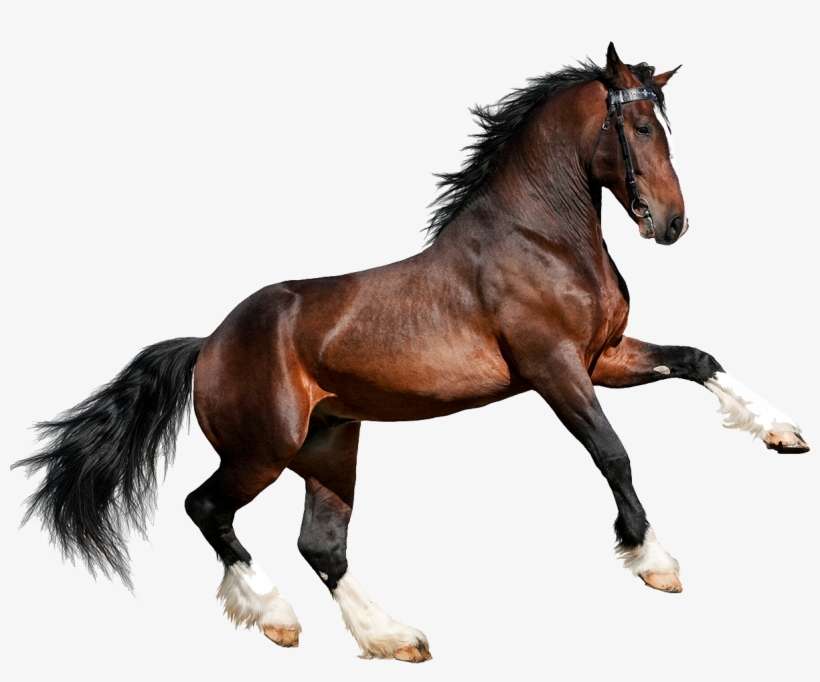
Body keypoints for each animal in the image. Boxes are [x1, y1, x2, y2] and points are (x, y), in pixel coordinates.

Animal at [14, 43, 809, 663]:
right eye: (639, 125)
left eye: (666, 125)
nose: (671, 223)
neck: (542, 238)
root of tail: (209, 343)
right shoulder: (555, 368)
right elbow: (613, 454)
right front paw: (655, 562)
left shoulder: (603, 358)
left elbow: (698, 359)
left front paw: (784, 434)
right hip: (261, 450)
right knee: (205, 508)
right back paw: (275, 618)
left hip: (331, 445)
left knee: (322, 546)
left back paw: (392, 637)